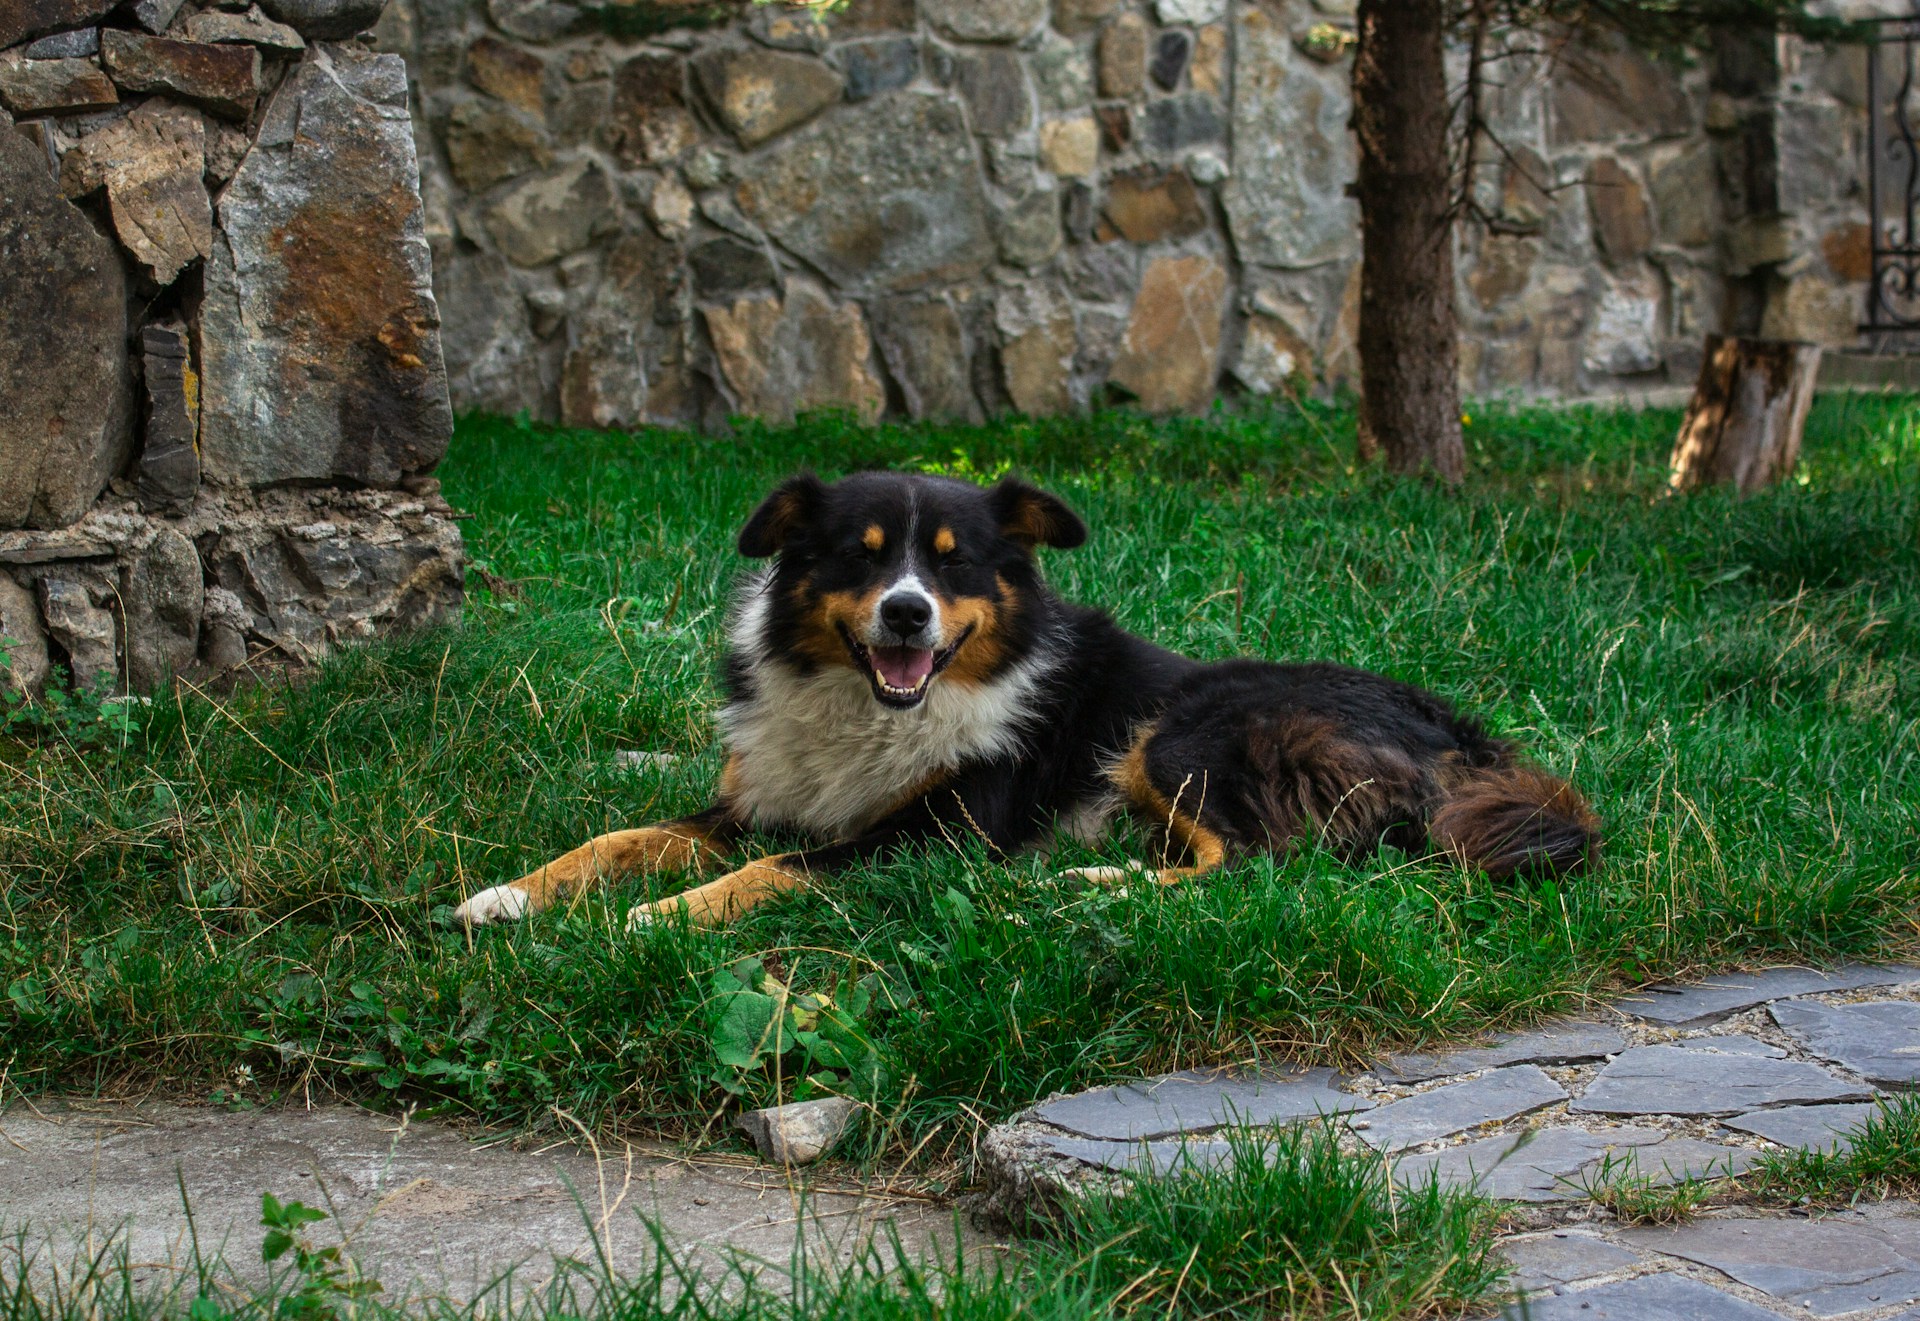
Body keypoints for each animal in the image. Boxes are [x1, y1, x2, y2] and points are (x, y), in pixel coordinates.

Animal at [456, 472, 1597, 929]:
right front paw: (506, 896)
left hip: (1184, 731)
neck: (876, 708)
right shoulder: (758, 797)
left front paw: (654, 919)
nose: (907, 613)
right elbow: (618, 836)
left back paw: (1081, 886)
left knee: (1257, 866)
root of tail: (1466, 738)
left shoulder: (940, 834)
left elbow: (776, 871)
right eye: (860, 555)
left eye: (954, 563)